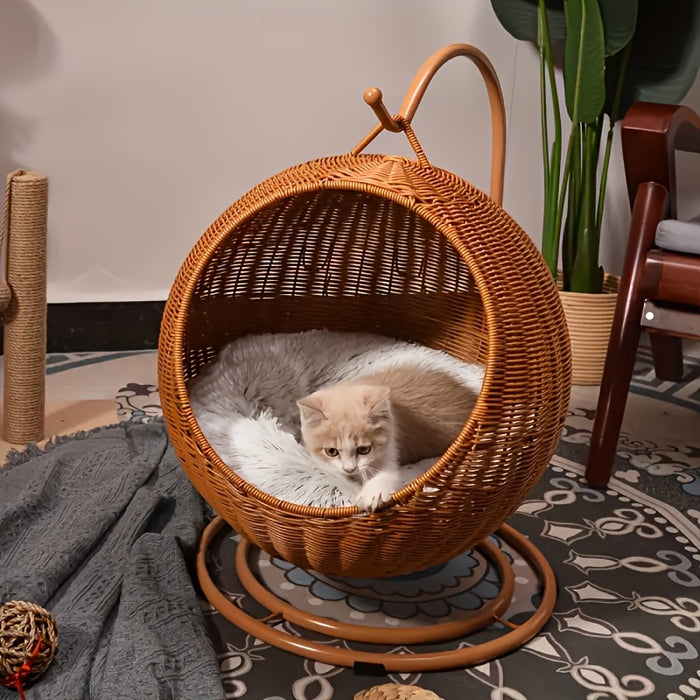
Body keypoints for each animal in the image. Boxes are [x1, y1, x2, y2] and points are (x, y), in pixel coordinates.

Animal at [298, 370, 478, 512]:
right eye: (331, 451)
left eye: (364, 449)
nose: (350, 469)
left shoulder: (391, 444)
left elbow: (387, 472)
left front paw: (371, 494)